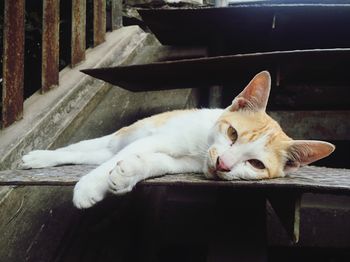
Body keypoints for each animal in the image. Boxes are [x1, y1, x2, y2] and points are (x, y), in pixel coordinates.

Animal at [21, 70, 334, 209]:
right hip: (122, 136)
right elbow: (116, 157)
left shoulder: (177, 163)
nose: (223, 164)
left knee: (90, 153)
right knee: (85, 149)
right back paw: (39, 156)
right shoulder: (152, 140)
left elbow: (154, 164)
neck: (199, 148)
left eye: (256, 164)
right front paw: (89, 186)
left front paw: (128, 174)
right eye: (232, 133)